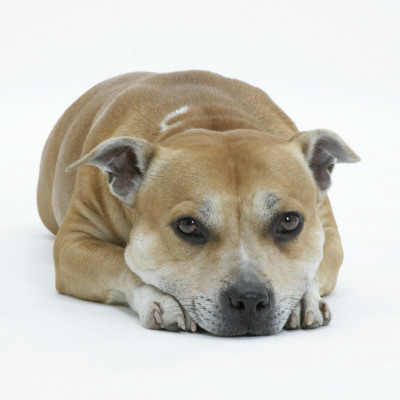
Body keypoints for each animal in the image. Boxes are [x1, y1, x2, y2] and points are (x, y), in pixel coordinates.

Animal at [37, 70, 360, 336]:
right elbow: (123, 263)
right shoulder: (72, 245)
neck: (210, 121)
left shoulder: (330, 237)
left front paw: (303, 299)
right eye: (188, 226)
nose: (250, 299)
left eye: (289, 221)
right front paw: (160, 298)